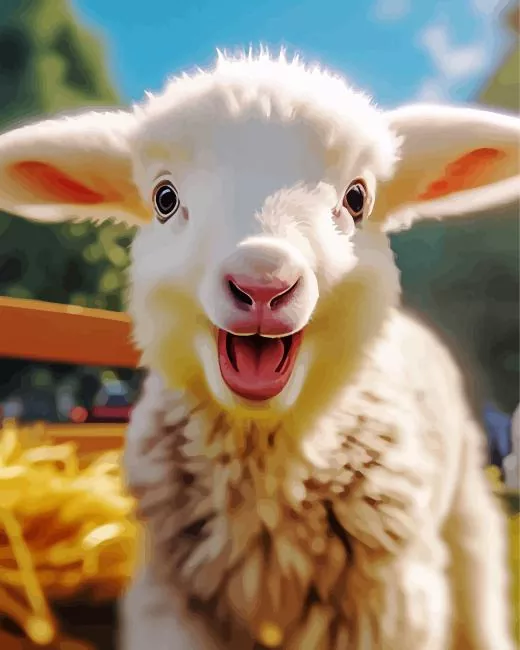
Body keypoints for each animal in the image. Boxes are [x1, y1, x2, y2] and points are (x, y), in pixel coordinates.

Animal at [0, 50, 518, 650]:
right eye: (164, 199)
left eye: (357, 198)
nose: (263, 280)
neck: (263, 471)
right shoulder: (172, 598)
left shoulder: (386, 603)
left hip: (462, 506)